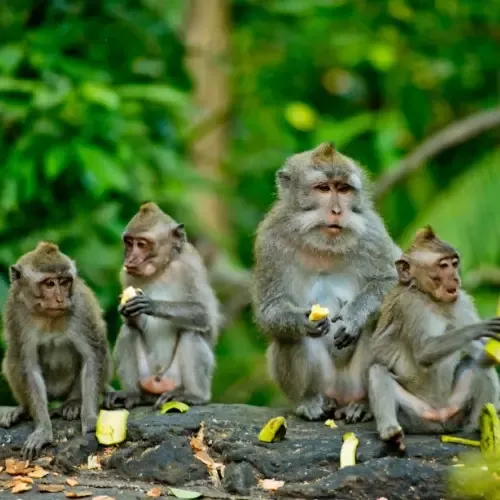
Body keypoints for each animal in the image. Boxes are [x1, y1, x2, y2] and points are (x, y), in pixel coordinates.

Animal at [0, 240, 111, 458]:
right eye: (49, 284)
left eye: (65, 282)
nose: (60, 299)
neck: (47, 316)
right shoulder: (16, 311)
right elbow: (28, 366)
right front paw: (43, 430)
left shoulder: (80, 306)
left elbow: (93, 356)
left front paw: (90, 420)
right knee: (12, 358)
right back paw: (22, 409)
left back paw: (73, 403)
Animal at [104, 202, 220, 410]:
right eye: (129, 242)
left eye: (142, 244)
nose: (130, 259)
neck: (162, 269)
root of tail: (157, 382)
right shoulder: (126, 275)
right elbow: (132, 324)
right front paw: (127, 311)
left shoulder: (190, 267)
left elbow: (204, 315)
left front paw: (151, 305)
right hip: (146, 376)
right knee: (128, 331)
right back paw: (132, 394)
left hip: (174, 377)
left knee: (191, 333)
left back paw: (194, 395)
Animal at [252, 143, 400, 424]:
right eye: (323, 188)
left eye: (343, 189)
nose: (337, 211)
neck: (323, 244)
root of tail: (341, 395)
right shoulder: (270, 240)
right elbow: (269, 309)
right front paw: (302, 321)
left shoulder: (373, 232)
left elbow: (395, 282)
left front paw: (353, 317)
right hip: (324, 382)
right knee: (287, 338)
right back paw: (310, 401)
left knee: (380, 322)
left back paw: (364, 405)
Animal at [368, 228, 500, 454]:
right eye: (443, 265)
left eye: (454, 263)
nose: (455, 278)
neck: (431, 298)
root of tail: (440, 418)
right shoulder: (410, 306)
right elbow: (424, 351)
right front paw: (478, 328)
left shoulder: (461, 301)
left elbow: (481, 354)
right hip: (416, 415)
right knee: (378, 370)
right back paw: (391, 433)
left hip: (455, 407)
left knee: (479, 366)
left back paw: (477, 427)